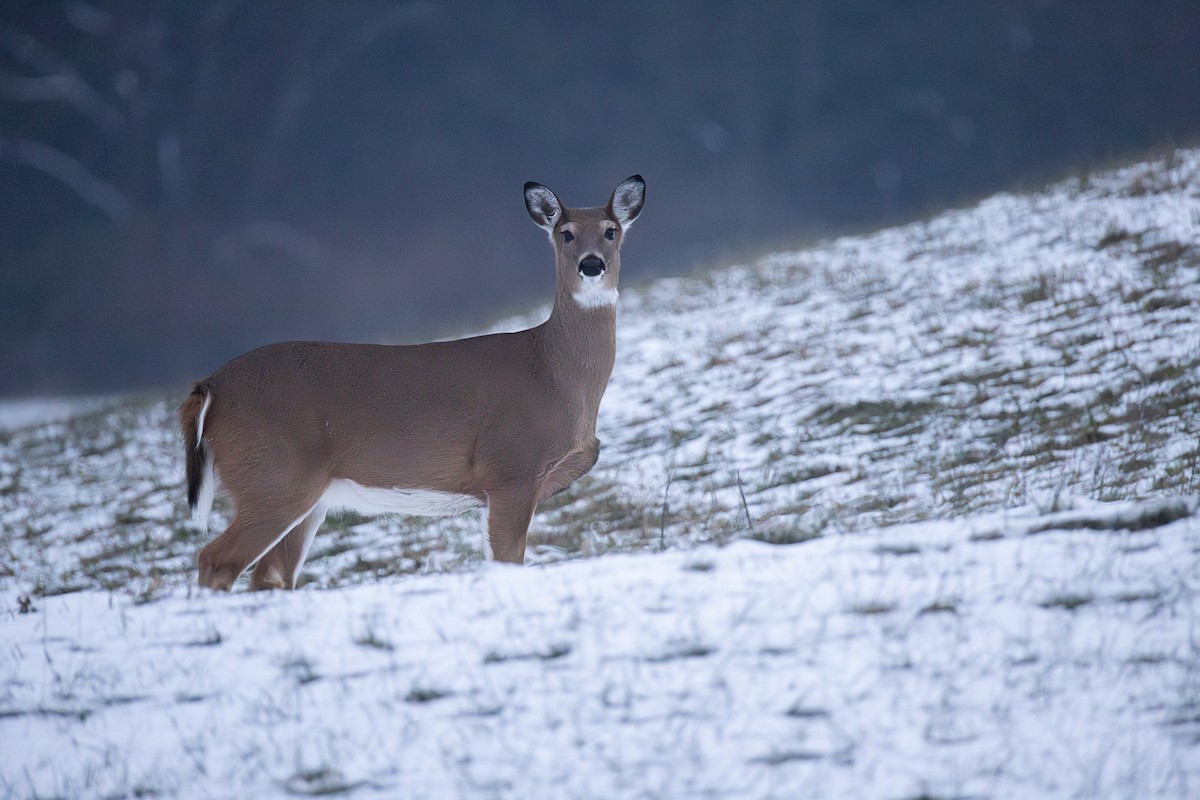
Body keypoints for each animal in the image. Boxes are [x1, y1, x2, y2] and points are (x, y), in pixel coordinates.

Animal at [179, 176, 645, 590]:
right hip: (272, 478)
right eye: (565, 234)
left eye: (611, 231)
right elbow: (507, 562)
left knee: (270, 575)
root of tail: (210, 386)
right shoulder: (510, 470)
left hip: (304, 496)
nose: (591, 264)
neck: (554, 374)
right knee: (216, 560)